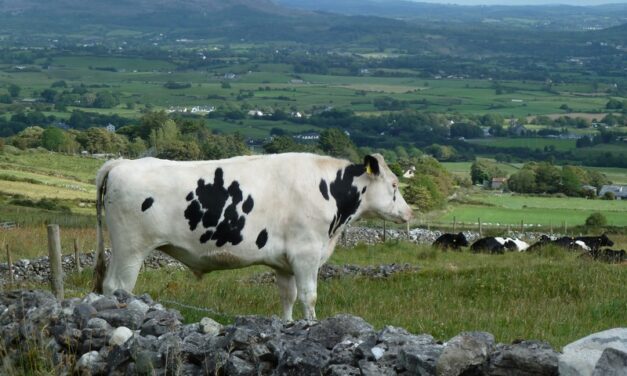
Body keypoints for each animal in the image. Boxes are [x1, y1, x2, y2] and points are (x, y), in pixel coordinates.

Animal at [93, 153, 414, 320]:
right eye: (394, 184)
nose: (409, 212)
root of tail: (121, 163)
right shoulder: (307, 254)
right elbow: (309, 297)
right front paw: (312, 326)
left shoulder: (285, 262)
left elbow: (288, 296)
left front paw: (289, 326)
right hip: (132, 248)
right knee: (119, 286)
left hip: (120, 248)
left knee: (107, 285)